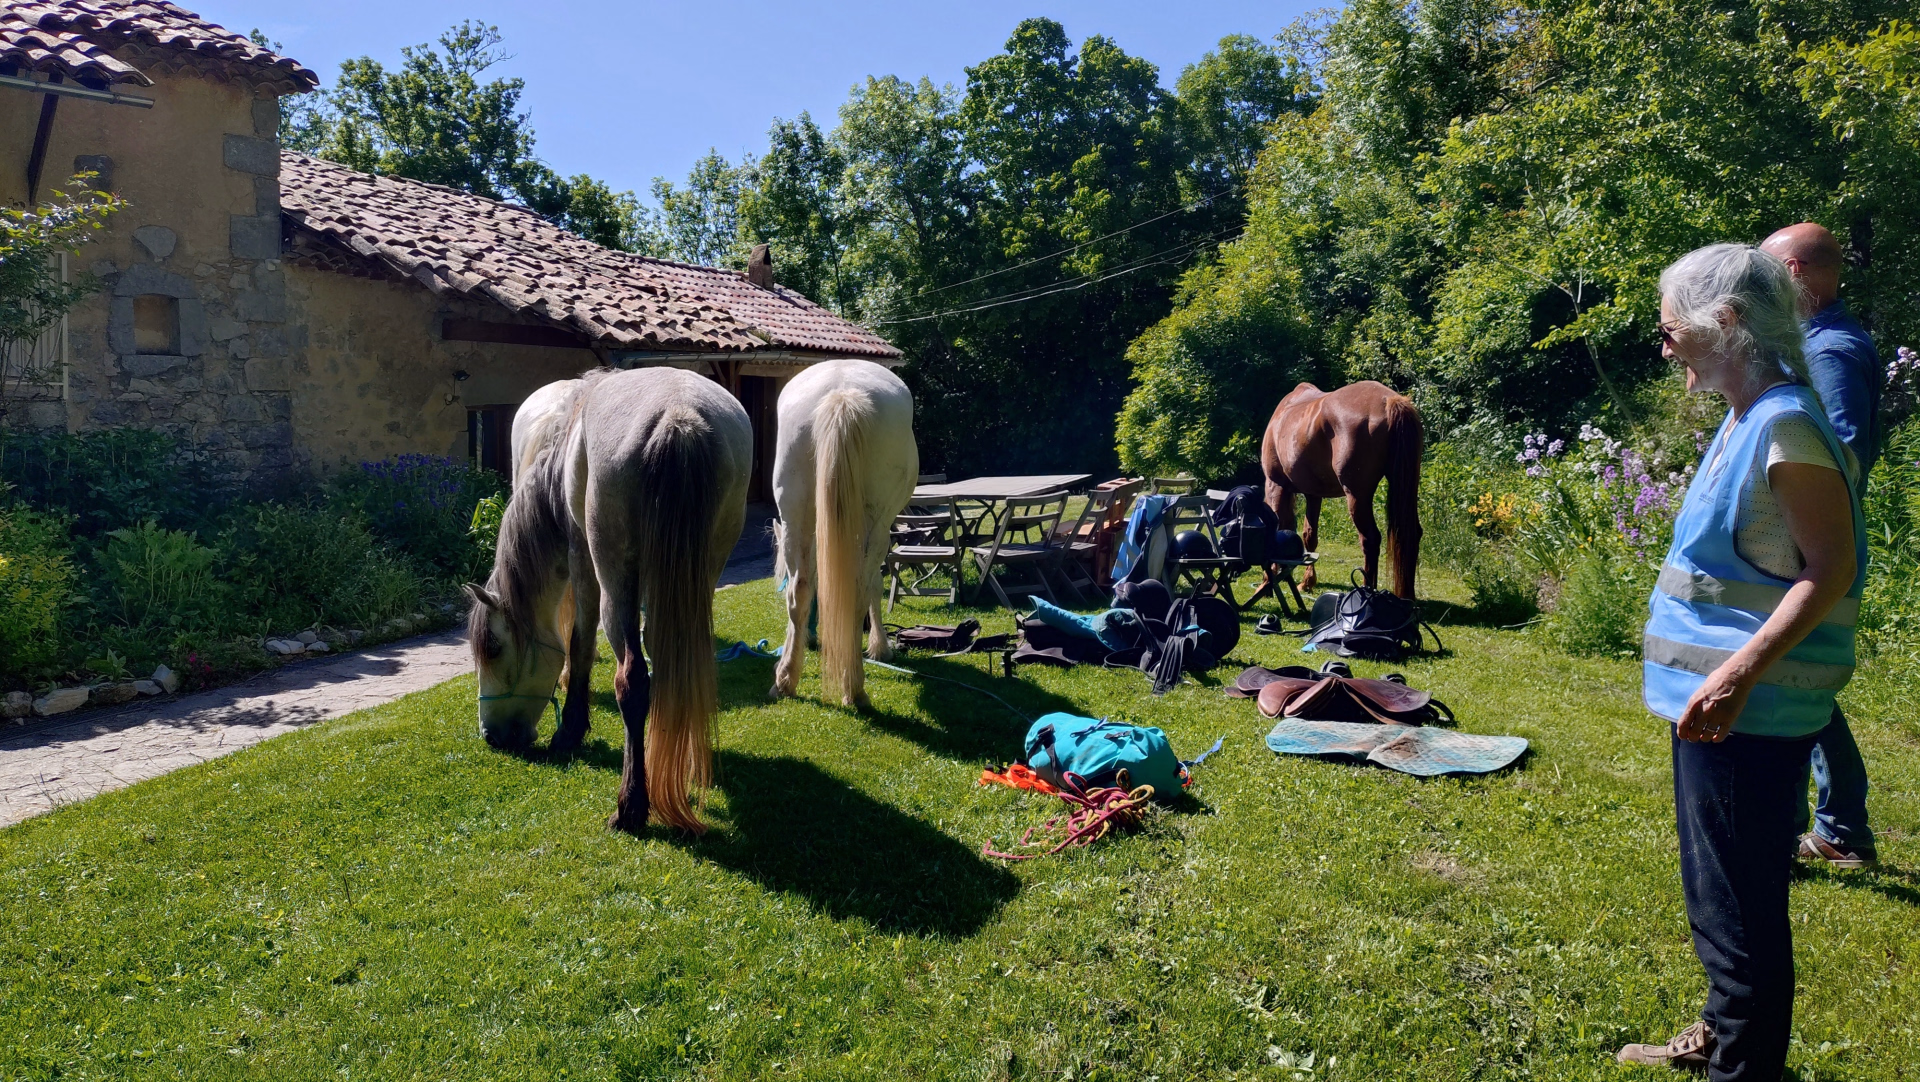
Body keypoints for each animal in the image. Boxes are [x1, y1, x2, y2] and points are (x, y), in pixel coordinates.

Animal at [466, 367, 752, 834]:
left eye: (493, 647)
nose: (492, 737)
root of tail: (680, 417)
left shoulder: (582, 559)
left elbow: (580, 644)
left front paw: (571, 731)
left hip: (613, 575)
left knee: (632, 678)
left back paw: (631, 805)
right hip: (704, 568)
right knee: (682, 664)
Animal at [769, 359, 919, 708]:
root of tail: (841, 394)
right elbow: (876, 585)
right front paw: (880, 647)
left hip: (795, 510)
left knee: (800, 590)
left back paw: (785, 680)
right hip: (876, 525)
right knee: (858, 591)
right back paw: (855, 689)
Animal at [1260, 380, 1423, 599]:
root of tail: (1390, 401)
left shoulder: (1274, 484)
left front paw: (1267, 583)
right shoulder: (1313, 494)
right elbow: (1309, 535)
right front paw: (1308, 581)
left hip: (1356, 496)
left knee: (1370, 539)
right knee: (1411, 534)